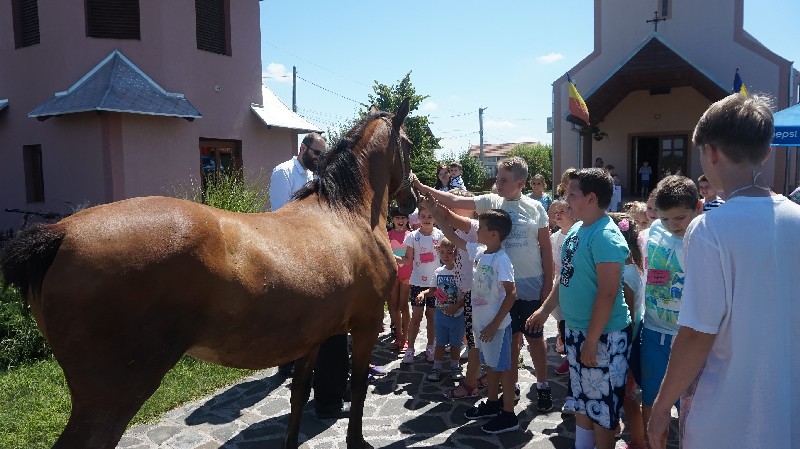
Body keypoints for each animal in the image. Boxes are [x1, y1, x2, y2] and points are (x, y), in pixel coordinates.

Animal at [0, 99, 416, 449]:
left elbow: (299, 395)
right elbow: (358, 386)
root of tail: (61, 233)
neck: (344, 213)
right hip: (110, 399)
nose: (411, 200)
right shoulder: (365, 324)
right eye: (409, 145)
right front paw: (357, 440)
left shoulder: (313, 337)